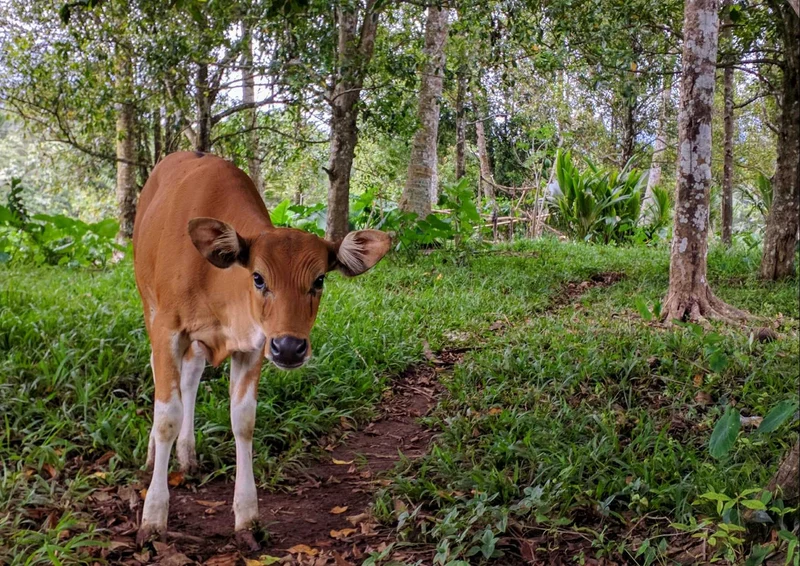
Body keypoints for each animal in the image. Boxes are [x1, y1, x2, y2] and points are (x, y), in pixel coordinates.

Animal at [132, 151, 390, 548]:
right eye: (258, 277)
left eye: (319, 280)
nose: (289, 347)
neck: (215, 283)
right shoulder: (168, 330)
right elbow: (166, 418)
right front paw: (153, 516)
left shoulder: (254, 345)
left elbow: (244, 421)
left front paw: (247, 517)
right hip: (148, 303)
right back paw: (153, 457)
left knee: (191, 377)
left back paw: (188, 454)